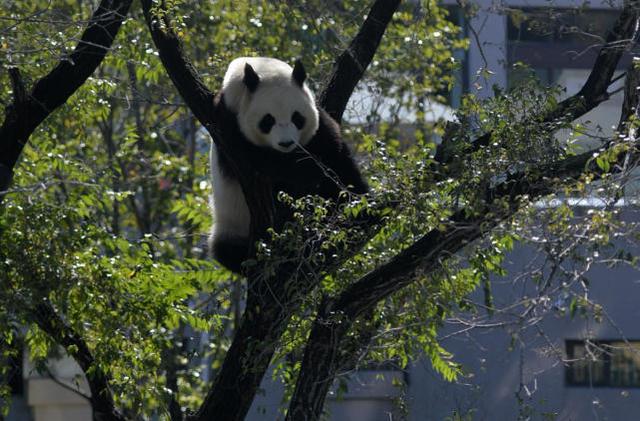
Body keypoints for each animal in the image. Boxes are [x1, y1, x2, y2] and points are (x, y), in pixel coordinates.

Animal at [210, 56, 368, 272]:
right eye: (268, 120)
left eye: (297, 117)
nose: (286, 143)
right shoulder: (228, 129)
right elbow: (269, 165)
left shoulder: (318, 125)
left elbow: (335, 157)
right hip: (232, 223)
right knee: (227, 250)